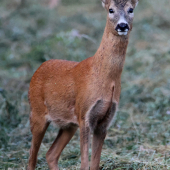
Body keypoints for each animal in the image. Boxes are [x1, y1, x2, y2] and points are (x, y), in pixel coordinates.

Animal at [27, 0, 139, 169]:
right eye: (111, 10)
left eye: (130, 9)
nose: (122, 25)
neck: (107, 80)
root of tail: (38, 70)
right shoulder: (84, 114)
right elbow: (85, 163)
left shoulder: (104, 122)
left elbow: (95, 163)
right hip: (37, 113)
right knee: (31, 159)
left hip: (68, 125)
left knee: (51, 154)